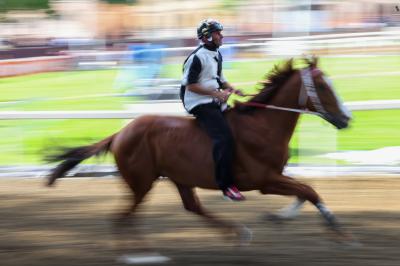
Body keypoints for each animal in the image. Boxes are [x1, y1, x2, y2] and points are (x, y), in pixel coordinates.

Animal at [47, 57, 352, 244]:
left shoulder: (274, 177)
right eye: (323, 85)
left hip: (178, 178)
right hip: (142, 182)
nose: (347, 118)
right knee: (122, 218)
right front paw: (337, 229)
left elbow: (305, 191)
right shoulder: (265, 180)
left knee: (190, 207)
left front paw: (279, 216)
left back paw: (237, 232)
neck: (262, 125)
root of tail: (119, 133)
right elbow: (308, 191)